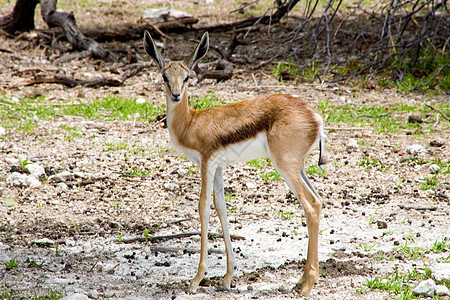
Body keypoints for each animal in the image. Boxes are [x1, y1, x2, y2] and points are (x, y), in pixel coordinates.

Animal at [144, 31, 326, 296]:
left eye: (187, 77)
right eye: (165, 76)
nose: (176, 95)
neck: (190, 122)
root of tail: (316, 118)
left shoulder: (207, 163)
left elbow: (203, 207)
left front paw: (196, 280)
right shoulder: (219, 167)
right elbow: (222, 208)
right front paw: (227, 278)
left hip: (285, 166)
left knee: (310, 205)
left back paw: (307, 285)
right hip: (299, 167)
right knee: (319, 201)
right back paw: (301, 280)